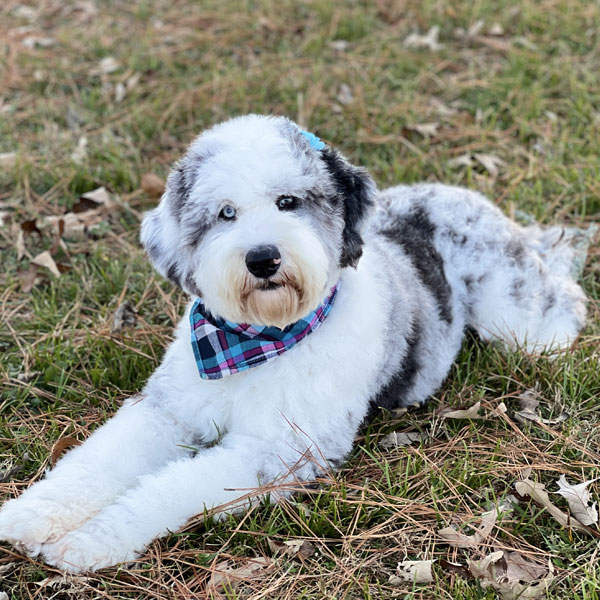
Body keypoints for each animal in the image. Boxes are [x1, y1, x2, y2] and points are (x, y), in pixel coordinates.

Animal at [0, 113, 588, 572]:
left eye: (288, 201)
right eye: (225, 213)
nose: (262, 258)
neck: (253, 344)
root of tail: (458, 192)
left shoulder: (276, 452)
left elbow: (169, 489)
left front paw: (90, 540)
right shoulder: (167, 411)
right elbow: (93, 463)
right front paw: (29, 516)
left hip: (516, 318)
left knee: (565, 301)